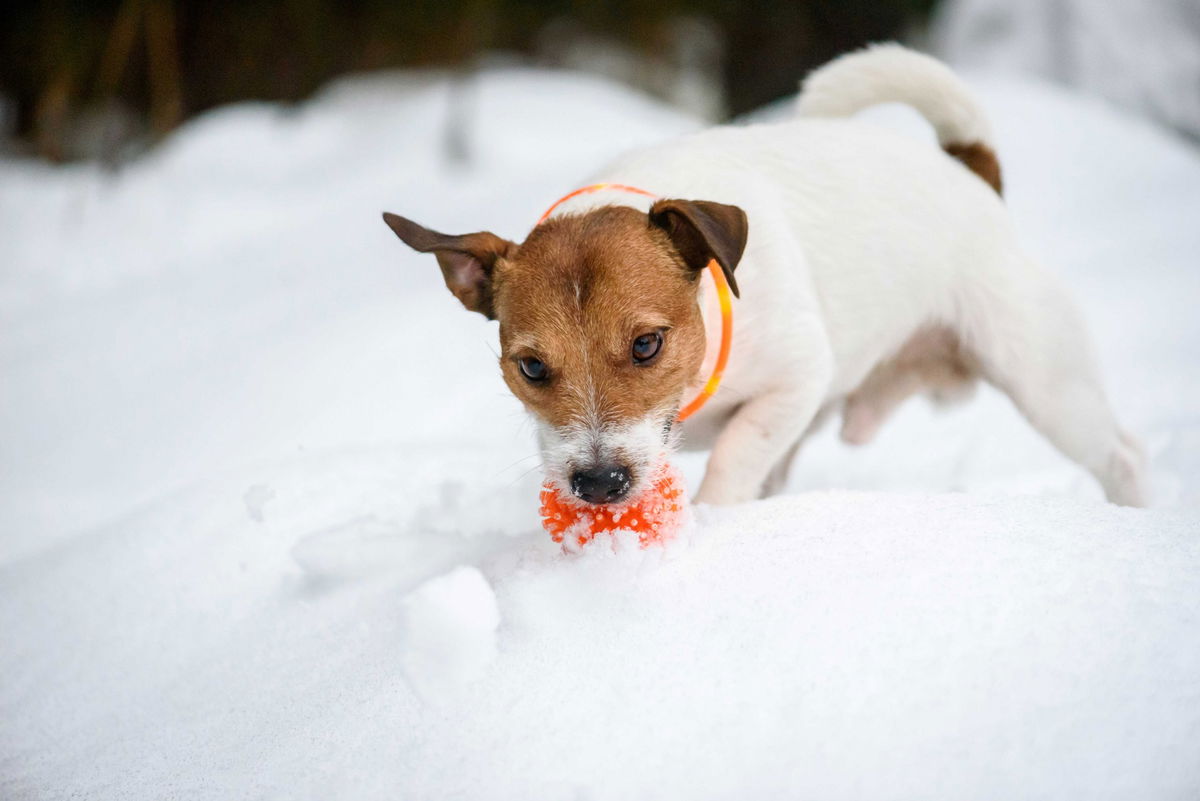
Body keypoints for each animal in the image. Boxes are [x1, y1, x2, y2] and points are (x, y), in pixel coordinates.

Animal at [379, 43, 1147, 506]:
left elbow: (736, 457)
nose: (600, 483)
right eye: (532, 368)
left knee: (1121, 453)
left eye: (647, 345)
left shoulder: (796, 377)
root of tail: (972, 174)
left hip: (1045, 380)